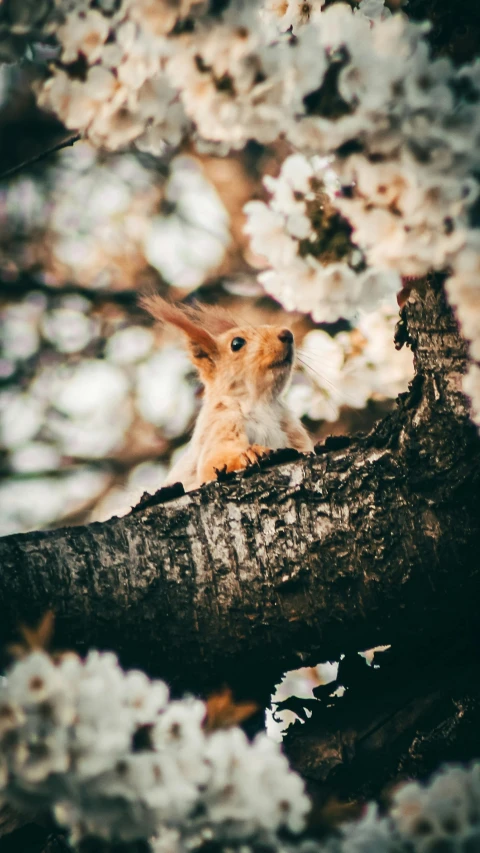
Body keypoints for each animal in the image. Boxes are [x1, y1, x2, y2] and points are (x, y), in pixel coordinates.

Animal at [141, 294, 314, 490]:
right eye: (236, 343)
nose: (287, 334)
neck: (261, 403)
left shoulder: (292, 432)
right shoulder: (222, 426)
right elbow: (212, 462)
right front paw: (249, 454)